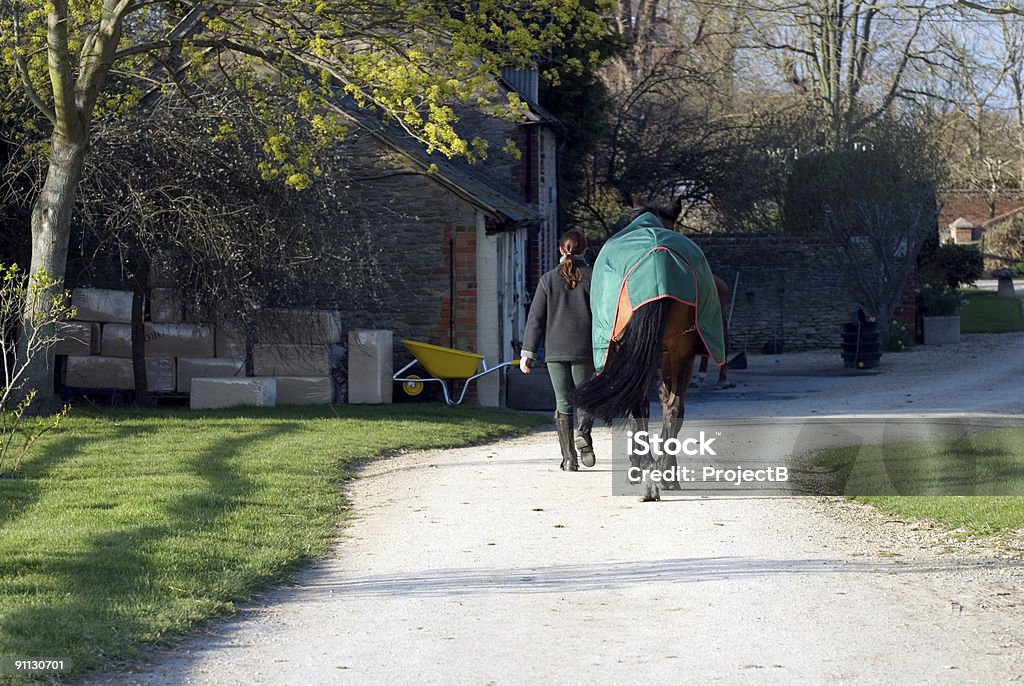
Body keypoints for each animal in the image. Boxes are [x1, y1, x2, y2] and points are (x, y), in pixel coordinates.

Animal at [569, 207, 729, 499]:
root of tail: (659, 263)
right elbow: (669, 404)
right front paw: (665, 470)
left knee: (638, 402)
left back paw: (645, 467)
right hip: (679, 353)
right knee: (673, 407)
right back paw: (663, 472)